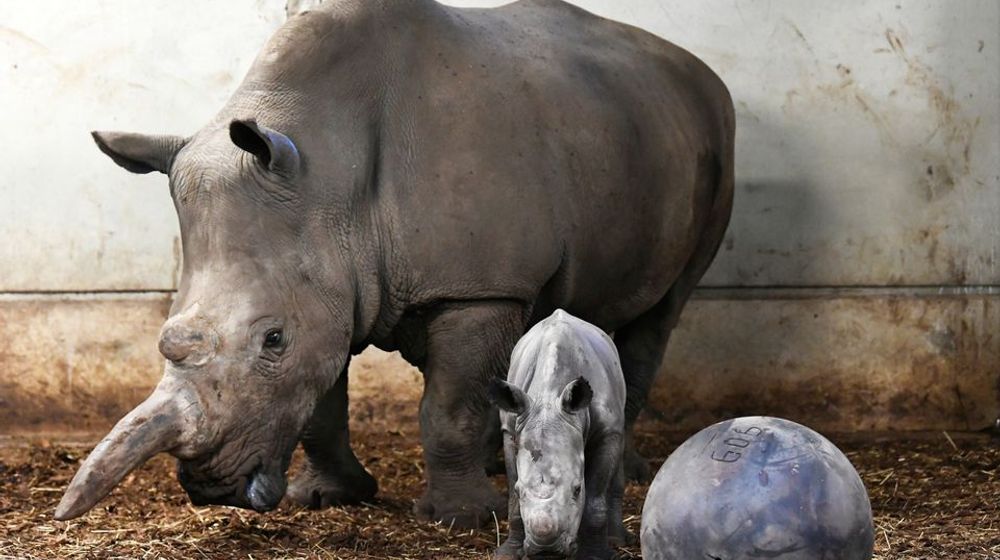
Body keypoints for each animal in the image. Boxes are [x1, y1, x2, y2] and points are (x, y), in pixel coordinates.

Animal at [55, 0, 734, 529]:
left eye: (272, 339)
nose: (212, 488)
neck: (327, 175)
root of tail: (697, 70)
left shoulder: (474, 287)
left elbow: (448, 406)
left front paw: (463, 519)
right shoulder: (330, 284)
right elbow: (321, 401)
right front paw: (325, 498)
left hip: (714, 140)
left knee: (662, 312)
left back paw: (621, 472)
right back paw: (506, 462)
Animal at [489, 310, 627, 560]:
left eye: (577, 489)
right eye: (521, 491)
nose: (546, 549)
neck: (547, 399)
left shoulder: (607, 429)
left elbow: (595, 499)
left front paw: (594, 555)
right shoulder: (510, 429)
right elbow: (513, 494)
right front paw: (508, 553)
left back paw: (616, 540)